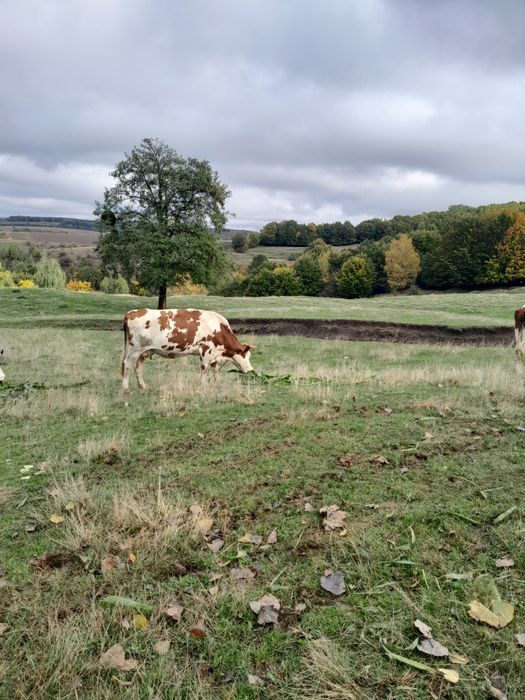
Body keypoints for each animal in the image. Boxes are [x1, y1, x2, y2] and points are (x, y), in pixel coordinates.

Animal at [121, 308, 254, 391]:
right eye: (246, 356)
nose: (250, 370)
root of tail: (132, 313)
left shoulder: (214, 354)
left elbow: (215, 369)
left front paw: (216, 383)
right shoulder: (205, 349)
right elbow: (204, 369)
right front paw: (203, 385)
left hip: (142, 352)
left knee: (138, 367)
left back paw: (142, 386)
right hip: (134, 349)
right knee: (127, 365)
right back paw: (126, 388)